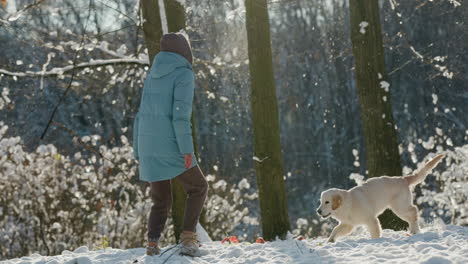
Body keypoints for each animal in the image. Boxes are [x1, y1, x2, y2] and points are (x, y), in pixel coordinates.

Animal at [316, 154, 444, 242]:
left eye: (327, 202)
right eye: (321, 202)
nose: (318, 211)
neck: (348, 203)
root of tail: (403, 179)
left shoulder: (371, 219)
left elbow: (375, 232)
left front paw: (375, 241)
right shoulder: (348, 224)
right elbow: (335, 230)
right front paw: (330, 241)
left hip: (399, 206)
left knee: (414, 210)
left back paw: (414, 230)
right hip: (400, 207)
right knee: (411, 215)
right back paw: (413, 230)